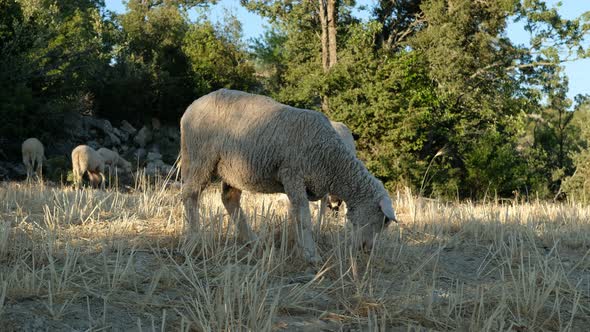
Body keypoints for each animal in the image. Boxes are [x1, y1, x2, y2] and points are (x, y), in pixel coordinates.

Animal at [183, 89, 400, 264]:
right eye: (383, 221)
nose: (366, 250)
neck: (332, 160)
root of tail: (192, 106)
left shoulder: (299, 185)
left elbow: (295, 215)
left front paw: (297, 247)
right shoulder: (293, 175)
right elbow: (303, 217)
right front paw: (311, 255)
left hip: (234, 168)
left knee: (230, 199)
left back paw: (252, 240)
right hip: (200, 157)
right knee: (190, 195)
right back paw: (195, 239)